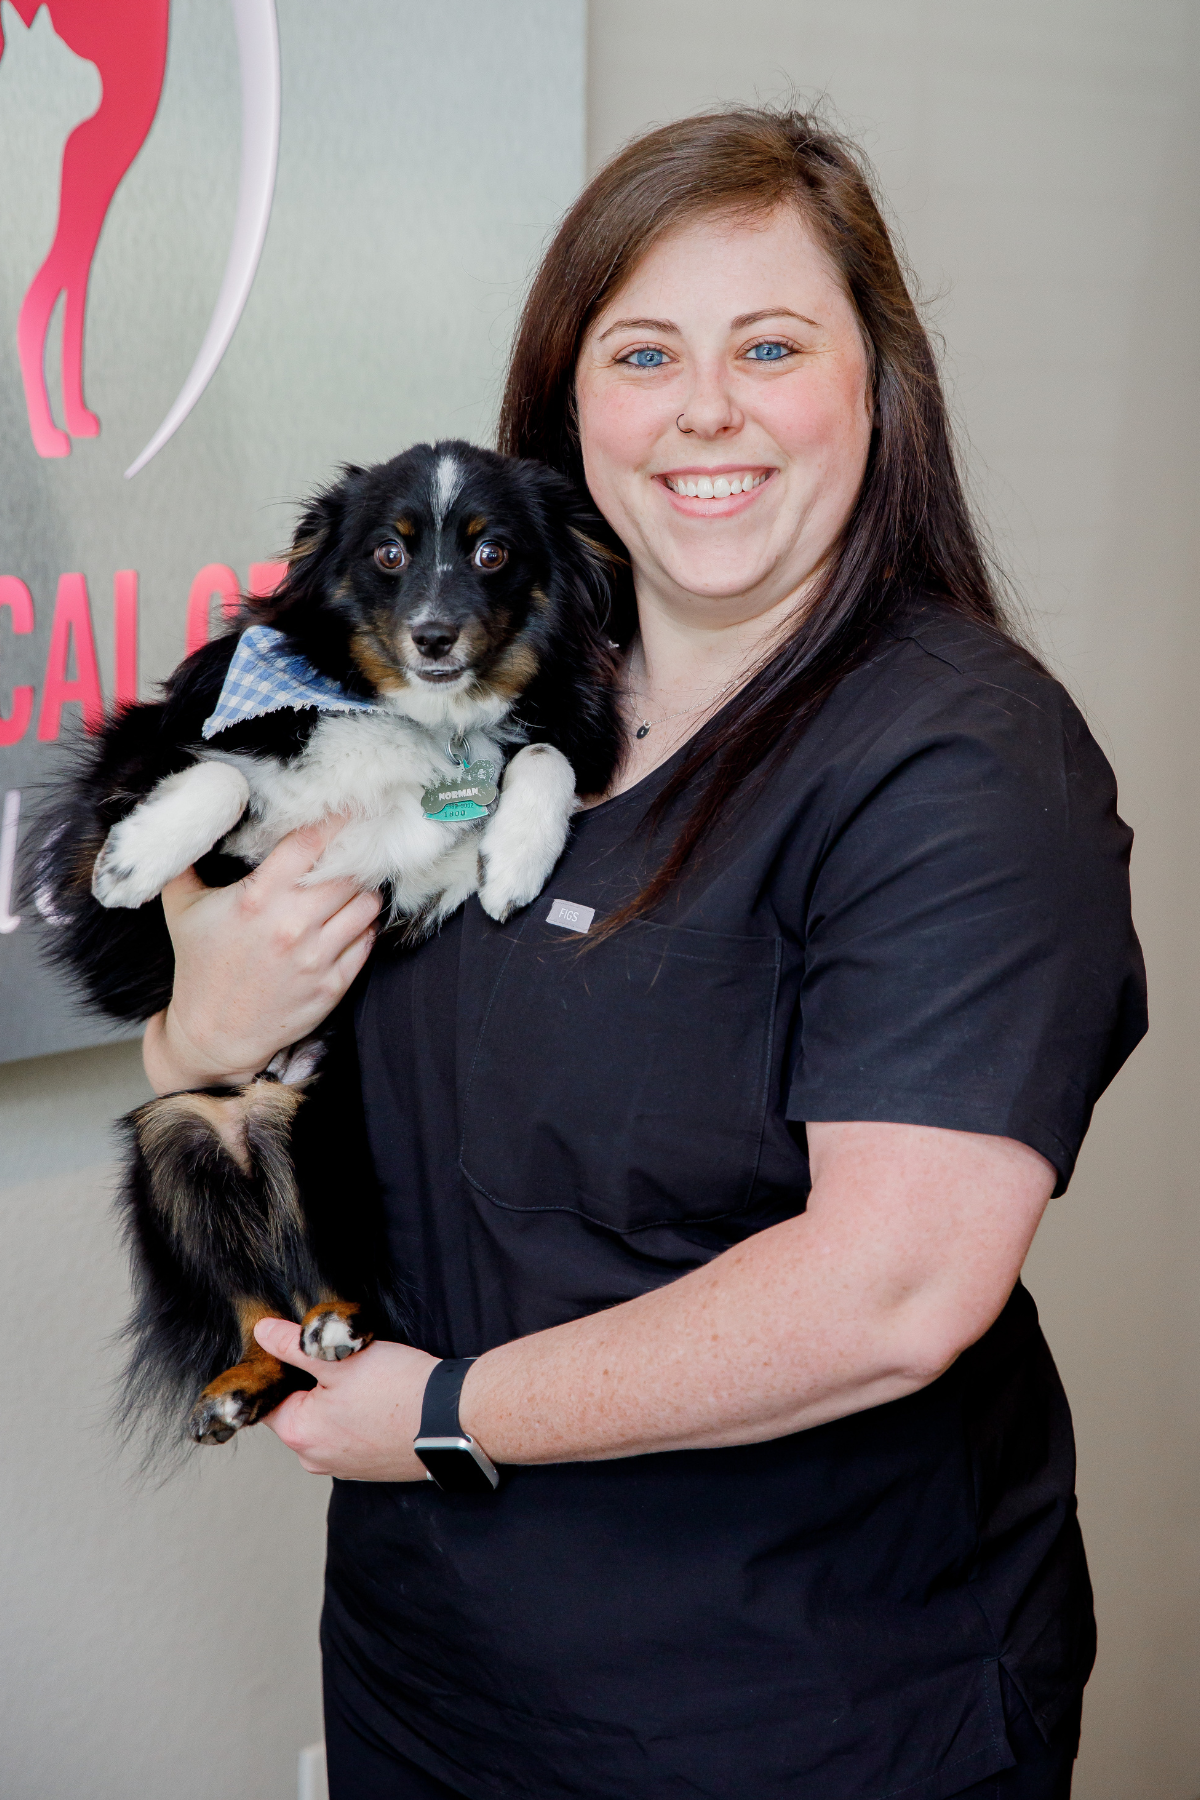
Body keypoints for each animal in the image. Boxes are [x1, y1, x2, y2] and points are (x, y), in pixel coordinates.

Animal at [32, 439, 626, 1447]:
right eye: (388, 554)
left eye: (492, 552)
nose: (434, 637)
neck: (405, 712)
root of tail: (250, 1116)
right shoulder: (116, 833)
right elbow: (216, 778)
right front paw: (135, 860)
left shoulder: (419, 880)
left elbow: (540, 754)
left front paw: (516, 856)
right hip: (172, 1142)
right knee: (250, 1311)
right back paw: (238, 1384)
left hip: (323, 1136)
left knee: (317, 1292)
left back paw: (333, 1325)